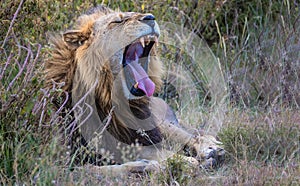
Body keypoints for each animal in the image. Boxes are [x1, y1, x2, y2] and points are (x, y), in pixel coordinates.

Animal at [45, 5, 225, 175]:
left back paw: (212, 151)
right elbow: (97, 169)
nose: (150, 17)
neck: (108, 99)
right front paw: (165, 165)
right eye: (117, 21)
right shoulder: (59, 163)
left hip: (161, 123)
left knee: (197, 135)